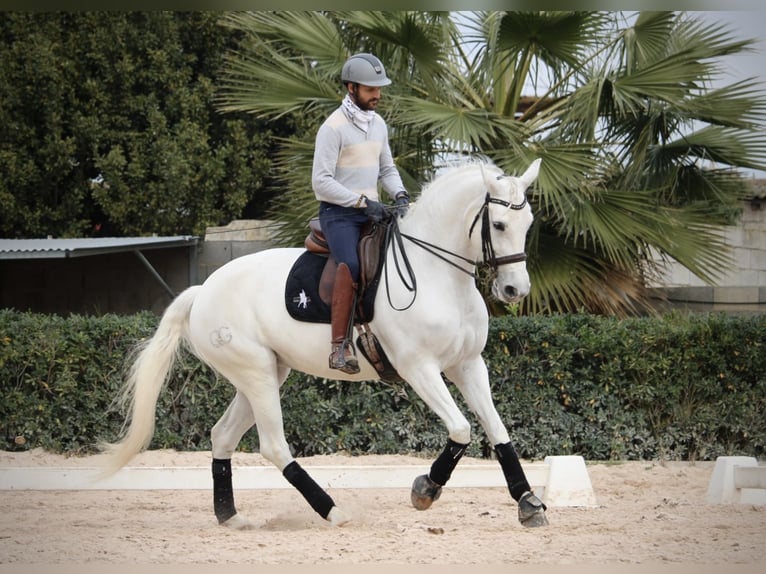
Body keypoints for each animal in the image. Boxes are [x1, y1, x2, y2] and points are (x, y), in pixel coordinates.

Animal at [100, 157, 548, 529]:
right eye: (499, 225)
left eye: (528, 223)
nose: (515, 290)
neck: (438, 274)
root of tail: (203, 290)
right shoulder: (418, 367)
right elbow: (461, 429)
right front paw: (426, 489)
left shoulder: (468, 364)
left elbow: (497, 430)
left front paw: (528, 503)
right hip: (256, 373)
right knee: (273, 446)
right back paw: (333, 511)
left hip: (265, 373)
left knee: (222, 436)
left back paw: (230, 516)